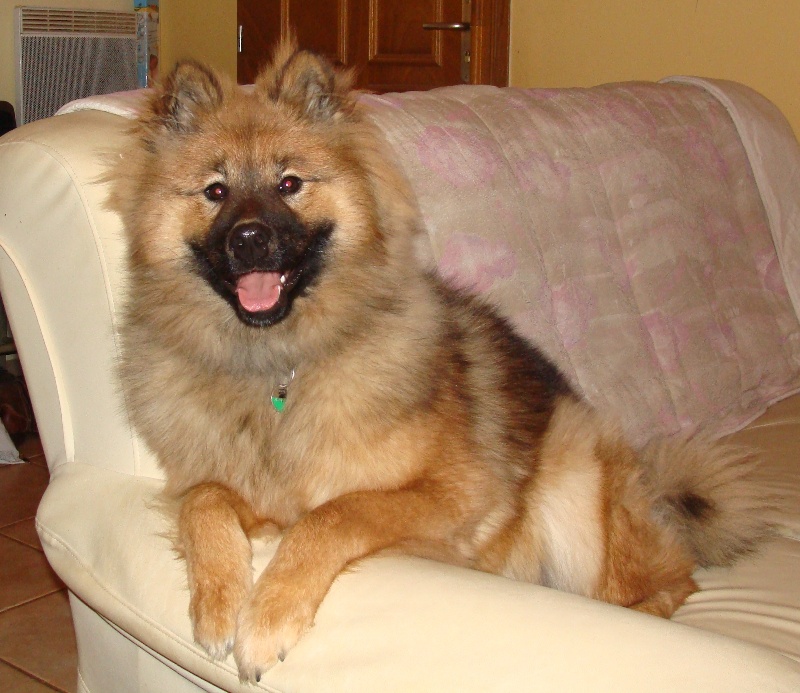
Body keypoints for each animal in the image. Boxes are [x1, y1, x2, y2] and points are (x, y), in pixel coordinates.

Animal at [111, 41, 772, 683]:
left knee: (664, 585)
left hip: (577, 478)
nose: (248, 239)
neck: (280, 367)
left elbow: (333, 515)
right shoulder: (227, 491)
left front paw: (267, 617)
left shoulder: (452, 494)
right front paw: (219, 601)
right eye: (215, 192)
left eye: (290, 184)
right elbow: (204, 499)